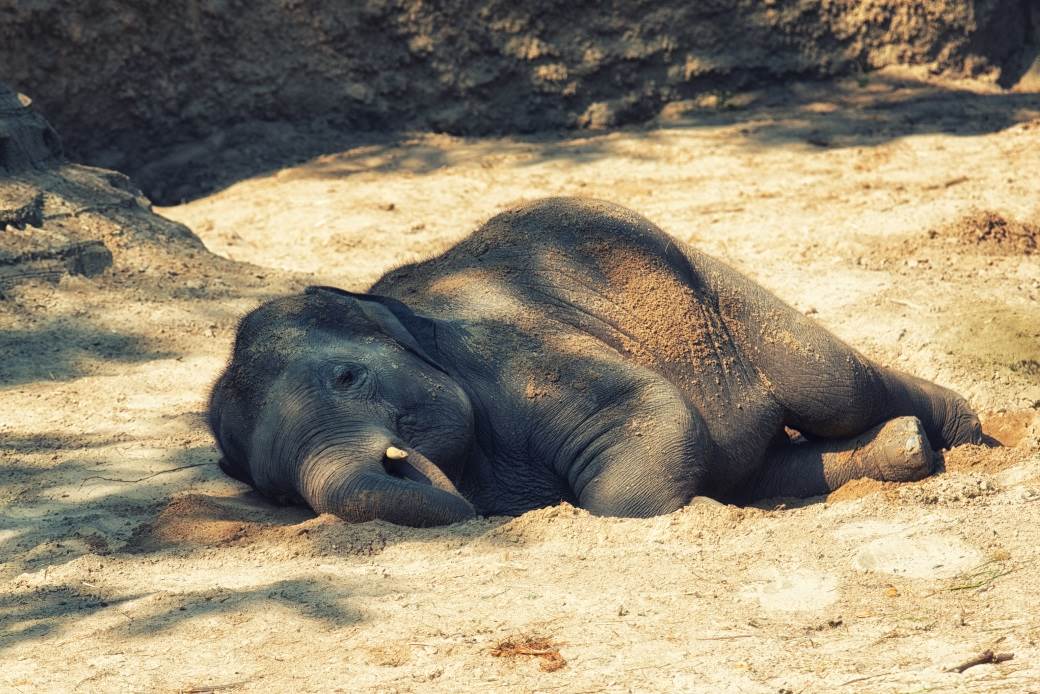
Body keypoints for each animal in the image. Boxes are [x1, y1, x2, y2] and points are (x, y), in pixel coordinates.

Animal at [204, 195, 981, 526]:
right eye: (276, 491)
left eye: (346, 376)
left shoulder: (516, 355)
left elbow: (647, 415)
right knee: (760, 462)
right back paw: (904, 450)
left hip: (714, 285)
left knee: (837, 386)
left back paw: (962, 433)